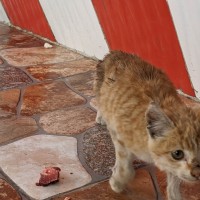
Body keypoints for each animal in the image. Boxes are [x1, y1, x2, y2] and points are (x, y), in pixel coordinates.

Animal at [94, 50, 200, 199]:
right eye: (177, 154)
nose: (197, 173)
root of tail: (115, 52)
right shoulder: (120, 137)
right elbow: (124, 166)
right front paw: (117, 182)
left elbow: (174, 178)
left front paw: (174, 194)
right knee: (99, 102)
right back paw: (100, 116)